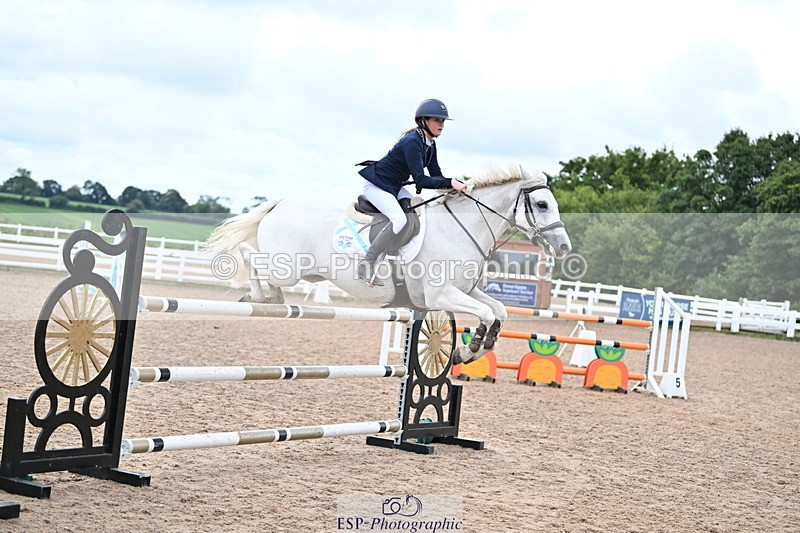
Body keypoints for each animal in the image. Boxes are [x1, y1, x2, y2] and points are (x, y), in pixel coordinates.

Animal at [204, 164, 571, 364]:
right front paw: (467, 352)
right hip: (288, 268)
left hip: (302, 272)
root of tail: (281, 203)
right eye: (541, 204)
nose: (564, 246)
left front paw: (472, 352)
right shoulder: (440, 296)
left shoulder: (463, 291)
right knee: (251, 257)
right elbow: (484, 314)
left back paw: (271, 297)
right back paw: (259, 296)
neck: (459, 228)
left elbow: (499, 311)